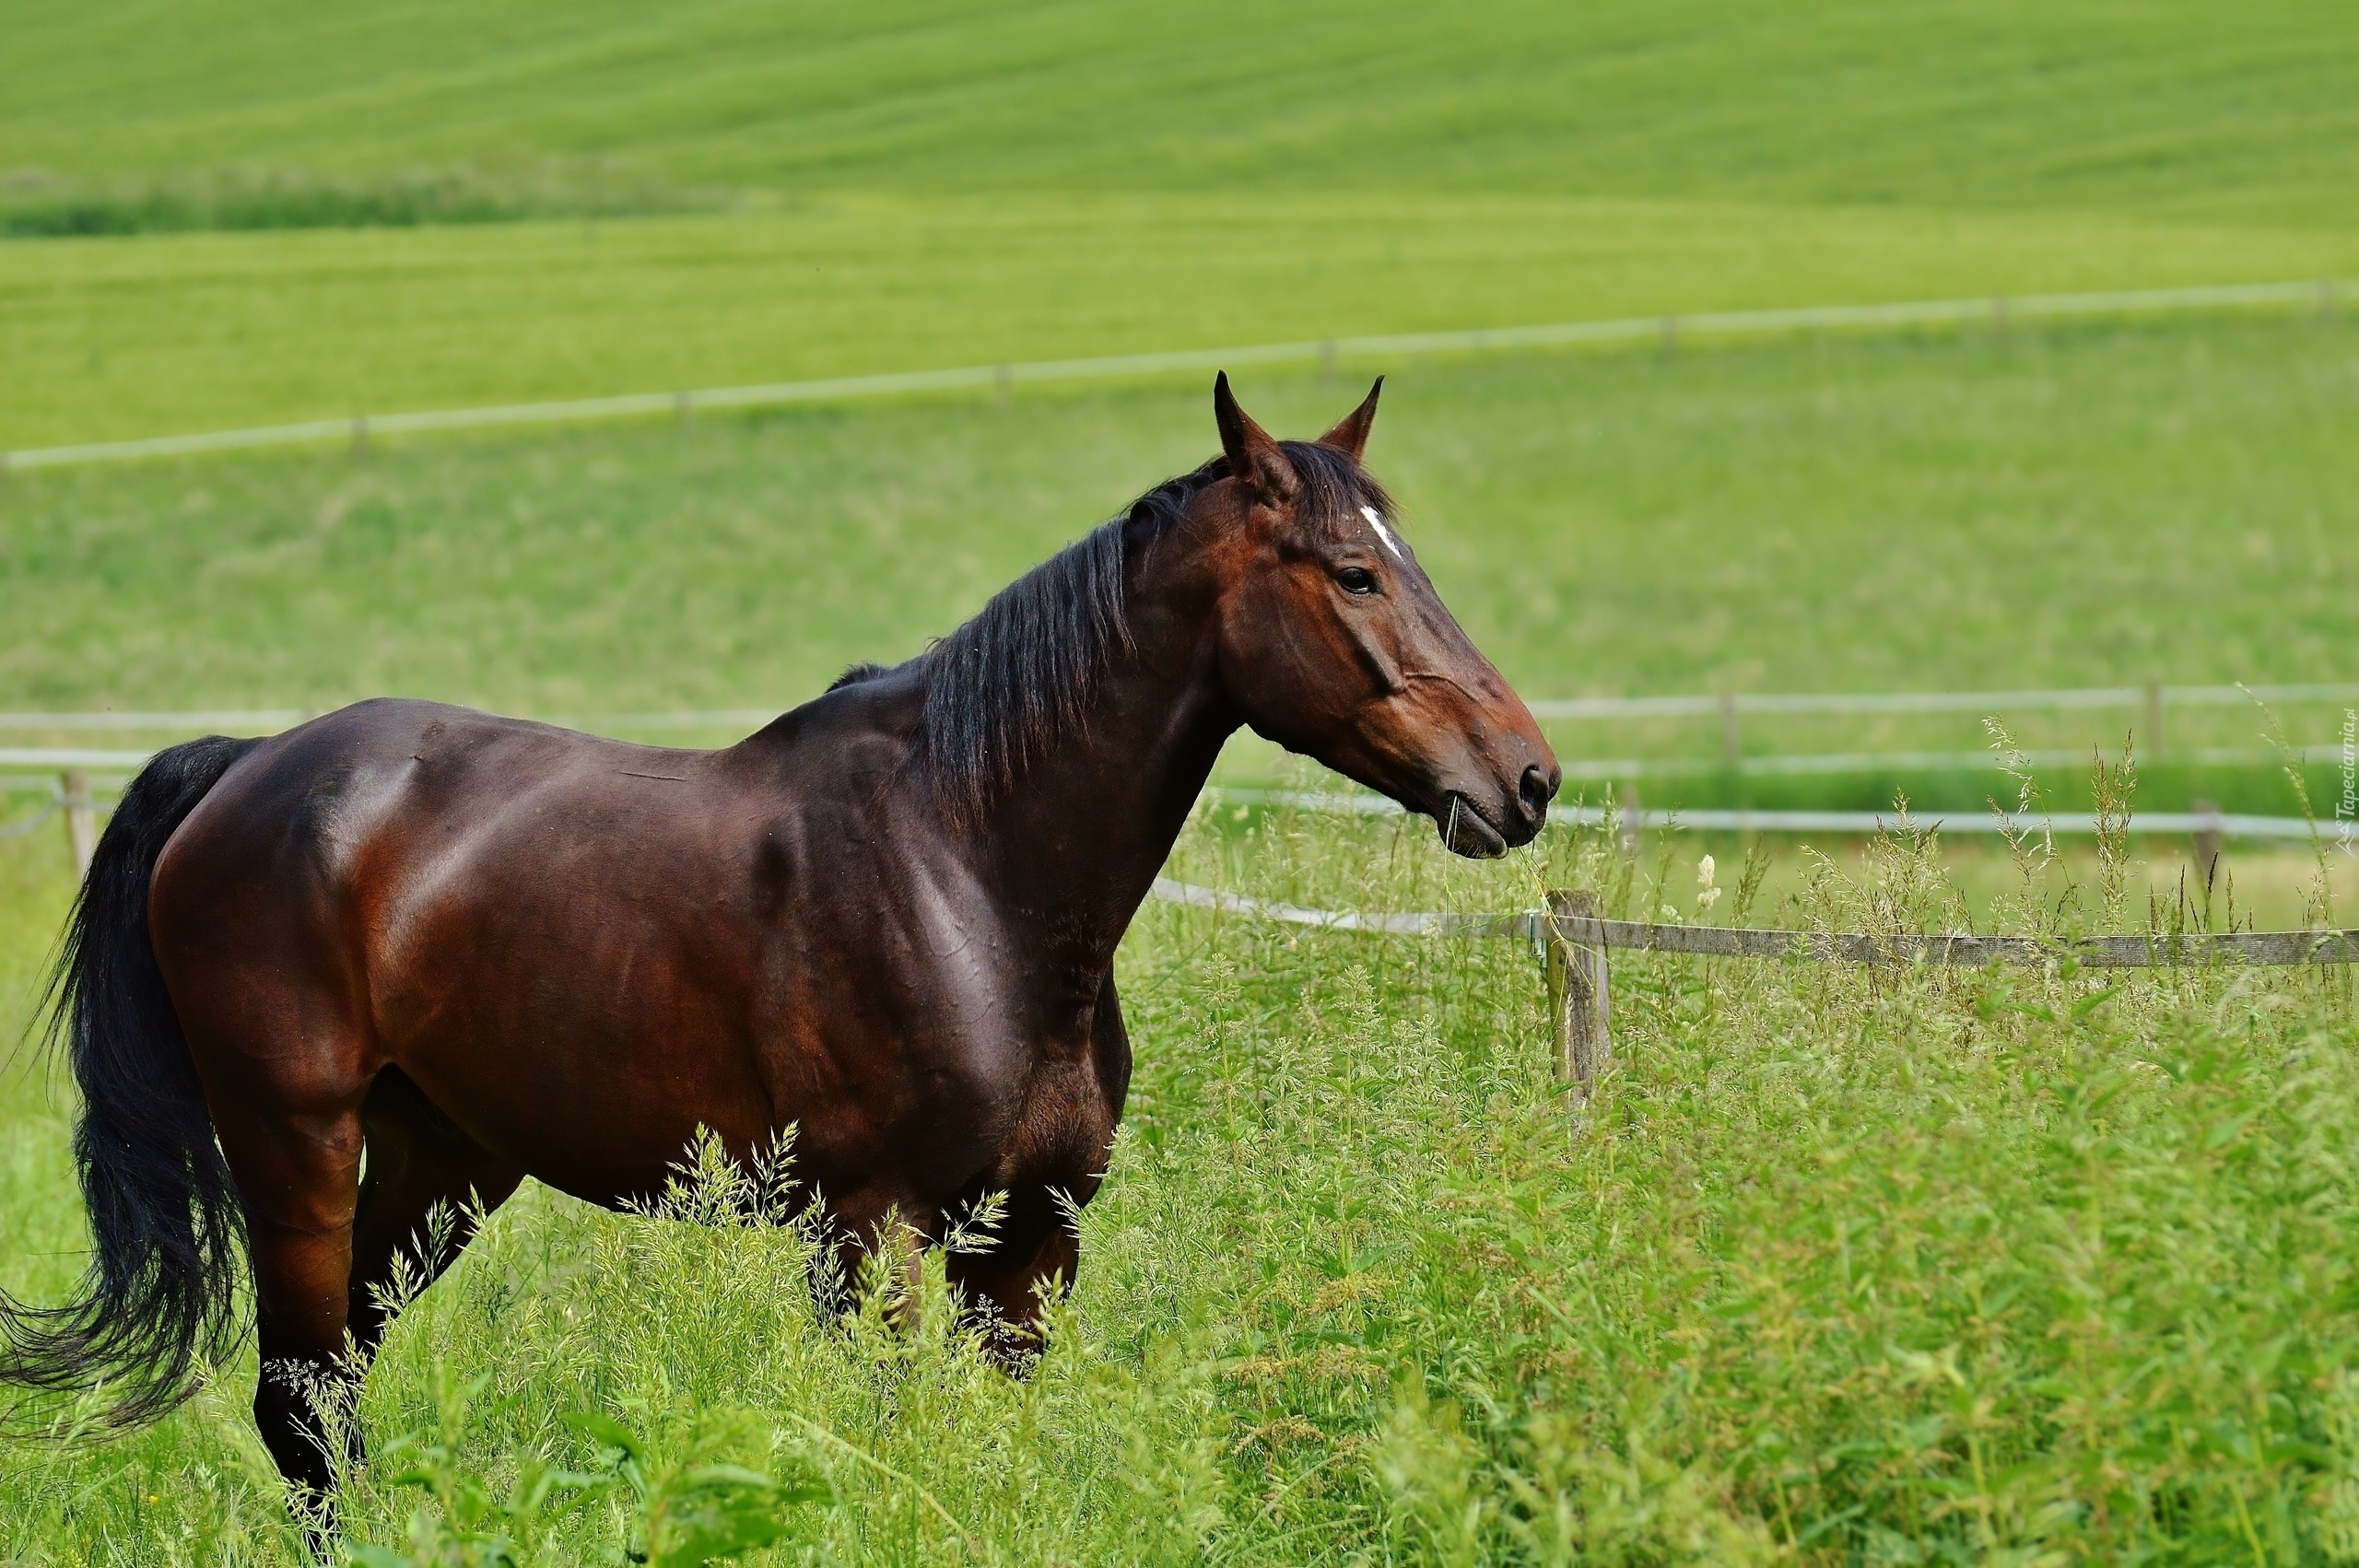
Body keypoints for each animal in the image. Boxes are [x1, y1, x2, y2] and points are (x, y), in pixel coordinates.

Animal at [0, 372, 1556, 1499]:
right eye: (1353, 574)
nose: (1526, 778)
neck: (969, 864)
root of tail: (248, 768)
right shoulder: (872, 1232)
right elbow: (895, 1445)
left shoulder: (1031, 1243)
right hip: (297, 1151)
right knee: (297, 1405)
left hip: (444, 1164)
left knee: (330, 1397)